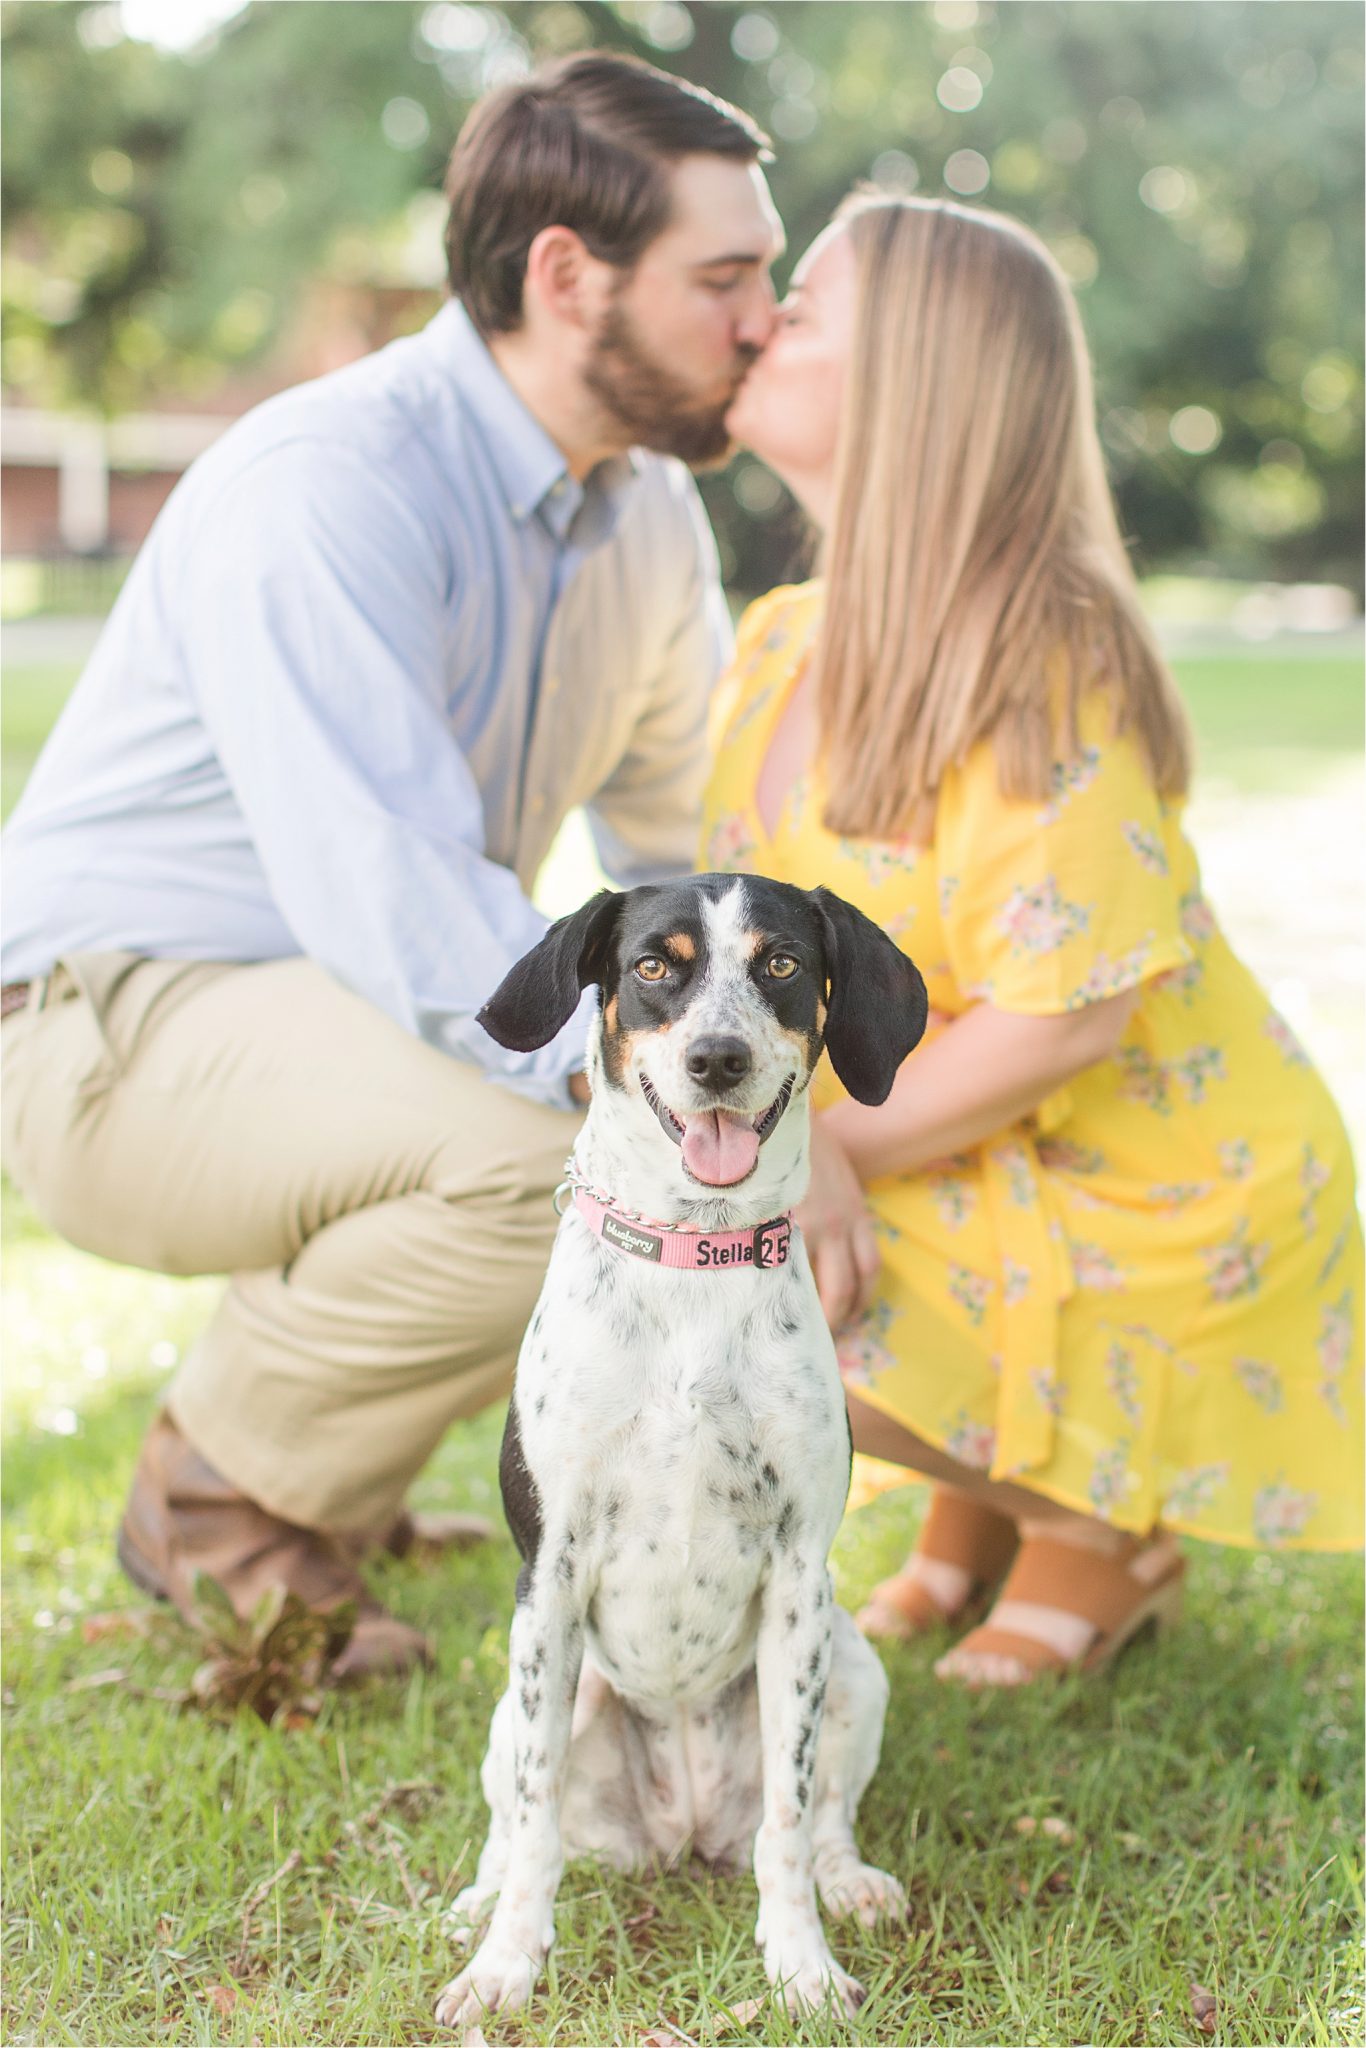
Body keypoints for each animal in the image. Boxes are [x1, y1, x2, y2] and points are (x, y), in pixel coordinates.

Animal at [438, 868, 929, 2031]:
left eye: (782, 964)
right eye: (654, 966)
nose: (716, 1058)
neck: (692, 1259)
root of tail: (681, 1829)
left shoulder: (800, 1581)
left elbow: (789, 1820)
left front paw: (801, 1965)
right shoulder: (549, 1575)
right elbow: (533, 1822)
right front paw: (507, 1965)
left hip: (853, 1661)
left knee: (820, 1813)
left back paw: (851, 1881)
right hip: (528, 1699)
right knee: (515, 1819)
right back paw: (476, 1903)